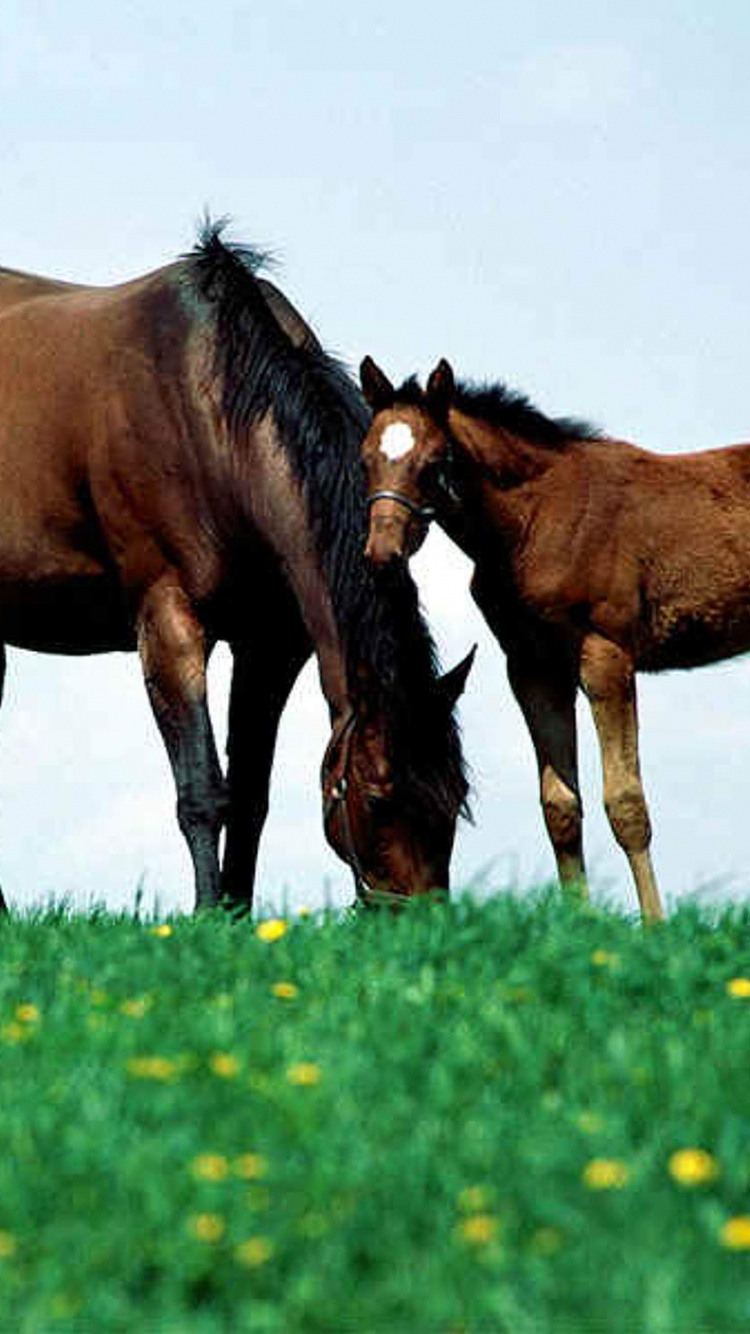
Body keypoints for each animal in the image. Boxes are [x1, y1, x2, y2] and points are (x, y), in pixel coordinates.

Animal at [0, 231, 472, 915]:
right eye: (379, 796)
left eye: (455, 798)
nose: (421, 923)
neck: (204, 406)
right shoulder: (169, 621)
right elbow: (203, 790)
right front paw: (203, 916)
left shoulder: (271, 643)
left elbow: (251, 793)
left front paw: (236, 916)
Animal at [356, 354, 750, 923]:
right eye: (366, 460)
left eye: (433, 461)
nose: (381, 555)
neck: (537, 519)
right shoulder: (533, 667)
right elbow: (560, 807)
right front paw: (578, 925)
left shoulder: (606, 655)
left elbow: (626, 803)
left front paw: (655, 927)